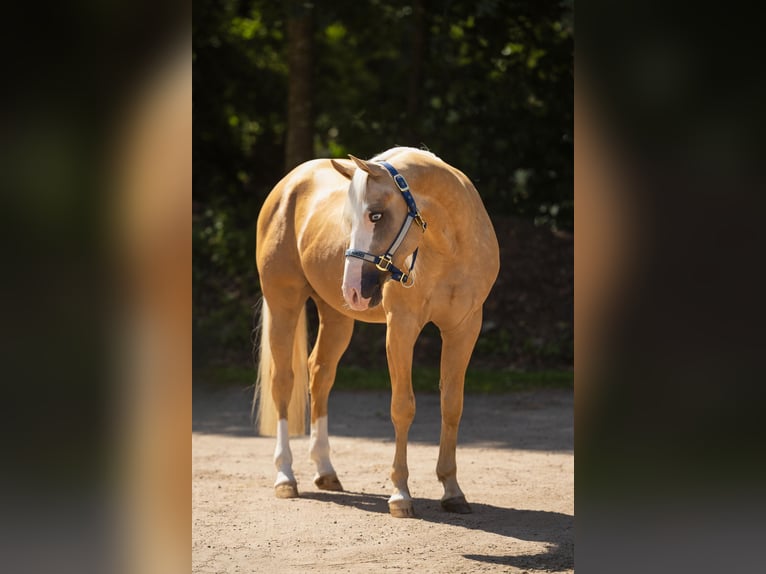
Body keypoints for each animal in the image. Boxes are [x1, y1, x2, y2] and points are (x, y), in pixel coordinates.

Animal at [254, 146, 499, 517]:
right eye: (351, 218)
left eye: (376, 215)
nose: (353, 289)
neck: (449, 248)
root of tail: (287, 185)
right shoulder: (401, 327)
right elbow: (403, 406)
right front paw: (400, 494)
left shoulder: (464, 327)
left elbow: (451, 405)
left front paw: (453, 491)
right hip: (283, 301)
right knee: (283, 381)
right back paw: (285, 477)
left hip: (336, 316)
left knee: (319, 375)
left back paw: (325, 471)